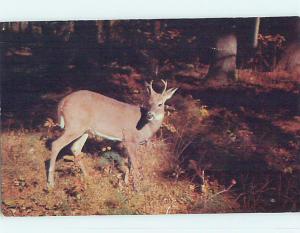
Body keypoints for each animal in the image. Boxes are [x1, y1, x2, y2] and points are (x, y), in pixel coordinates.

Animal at [47, 80, 178, 189]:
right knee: (56, 144)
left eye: (160, 104)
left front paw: (126, 183)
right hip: (74, 126)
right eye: (149, 102)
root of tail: (62, 102)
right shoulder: (129, 139)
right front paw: (137, 189)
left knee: (75, 148)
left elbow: (129, 164)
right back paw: (51, 183)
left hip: (84, 129)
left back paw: (88, 177)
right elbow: (135, 165)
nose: (149, 115)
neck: (145, 127)